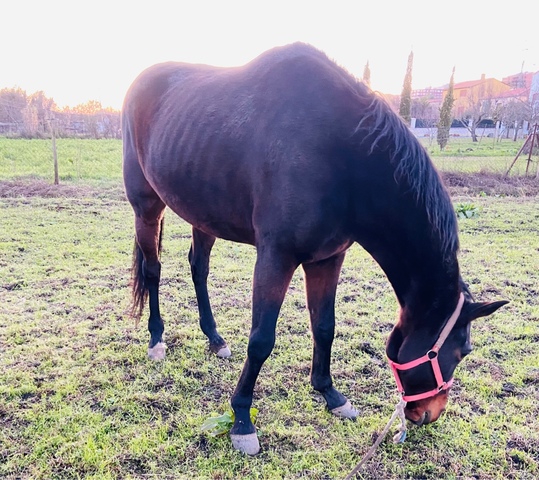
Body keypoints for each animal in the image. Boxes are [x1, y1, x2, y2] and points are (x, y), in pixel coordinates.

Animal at [122, 41, 510, 454]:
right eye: (460, 351)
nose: (429, 414)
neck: (339, 155)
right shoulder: (275, 258)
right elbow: (261, 339)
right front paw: (242, 419)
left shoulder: (328, 258)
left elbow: (325, 326)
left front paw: (330, 394)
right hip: (146, 206)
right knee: (153, 270)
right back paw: (157, 339)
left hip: (202, 213)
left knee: (199, 268)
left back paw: (215, 338)